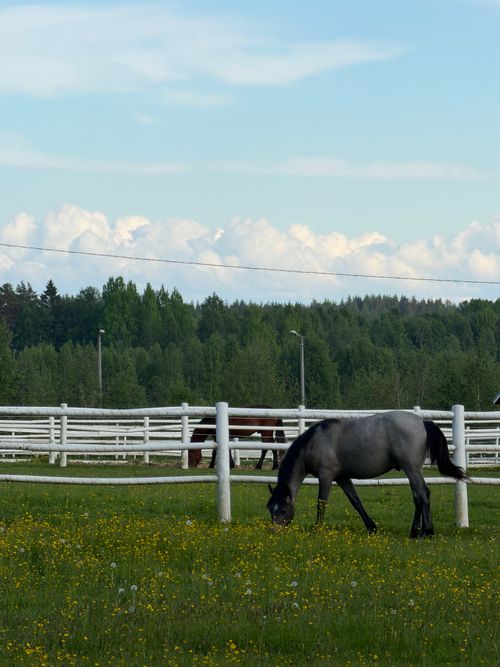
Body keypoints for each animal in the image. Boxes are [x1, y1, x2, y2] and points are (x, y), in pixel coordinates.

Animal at [267, 411, 467, 538]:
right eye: (270, 509)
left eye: (283, 510)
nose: (274, 532)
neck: (314, 442)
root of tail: (423, 422)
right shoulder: (342, 478)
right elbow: (356, 501)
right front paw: (372, 528)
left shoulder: (326, 477)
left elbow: (321, 503)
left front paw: (318, 529)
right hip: (412, 470)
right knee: (418, 496)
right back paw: (414, 532)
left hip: (411, 468)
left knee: (422, 495)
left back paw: (427, 532)